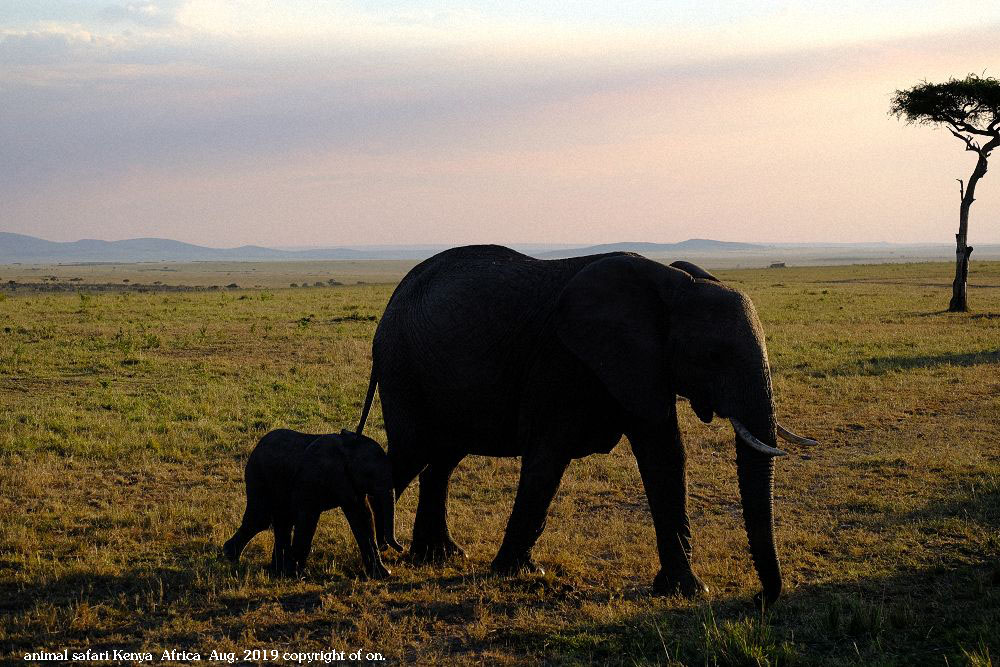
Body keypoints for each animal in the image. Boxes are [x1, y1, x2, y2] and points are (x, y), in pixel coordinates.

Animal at [223, 428, 402, 580]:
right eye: (369, 474)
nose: (399, 548)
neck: (349, 450)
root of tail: (258, 445)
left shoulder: (349, 482)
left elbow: (362, 518)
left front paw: (383, 574)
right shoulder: (311, 480)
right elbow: (308, 518)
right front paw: (297, 575)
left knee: (282, 521)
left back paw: (276, 570)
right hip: (258, 476)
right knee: (260, 519)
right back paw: (231, 556)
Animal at [358, 244, 812, 604]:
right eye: (714, 356)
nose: (761, 599)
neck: (674, 285)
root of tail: (391, 303)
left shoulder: (644, 366)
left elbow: (666, 459)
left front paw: (686, 591)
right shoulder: (562, 362)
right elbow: (546, 461)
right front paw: (519, 572)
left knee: (442, 460)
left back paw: (439, 556)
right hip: (404, 371)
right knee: (410, 453)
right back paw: (379, 561)